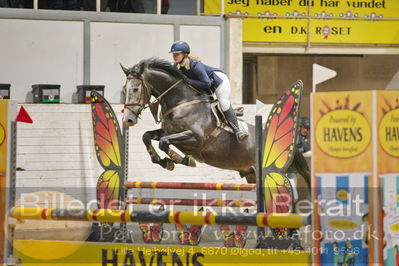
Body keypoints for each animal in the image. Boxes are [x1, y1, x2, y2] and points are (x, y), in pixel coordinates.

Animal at [122, 57, 312, 187]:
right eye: (124, 89)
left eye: (135, 89)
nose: (128, 119)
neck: (180, 102)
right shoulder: (168, 131)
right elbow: (147, 137)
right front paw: (163, 162)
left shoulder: (196, 138)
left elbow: (164, 142)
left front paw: (181, 160)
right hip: (251, 175)